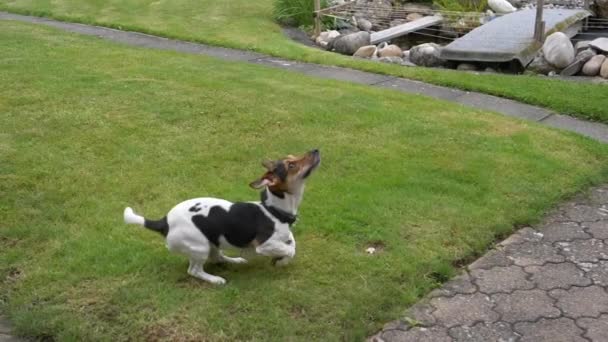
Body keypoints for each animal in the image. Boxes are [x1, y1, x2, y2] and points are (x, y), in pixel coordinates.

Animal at [121, 148, 320, 284]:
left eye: (292, 158)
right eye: (292, 165)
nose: (315, 150)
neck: (274, 210)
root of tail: (164, 222)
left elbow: (291, 242)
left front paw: (281, 258)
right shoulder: (264, 245)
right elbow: (290, 250)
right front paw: (282, 262)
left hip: (212, 241)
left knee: (217, 257)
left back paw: (236, 260)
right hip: (199, 246)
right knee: (194, 270)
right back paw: (214, 279)